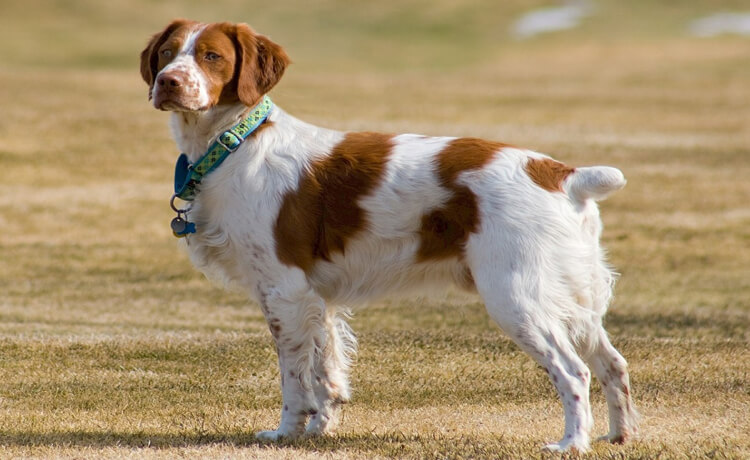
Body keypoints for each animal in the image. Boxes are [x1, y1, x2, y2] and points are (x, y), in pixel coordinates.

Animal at [141, 19, 640, 452]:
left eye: (211, 56)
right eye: (167, 52)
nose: (167, 82)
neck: (236, 144)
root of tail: (562, 174)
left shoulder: (283, 290)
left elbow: (294, 377)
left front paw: (286, 432)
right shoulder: (315, 298)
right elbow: (326, 370)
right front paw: (320, 429)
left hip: (517, 297)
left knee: (574, 372)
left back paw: (570, 443)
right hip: (572, 298)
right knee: (612, 363)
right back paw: (619, 436)